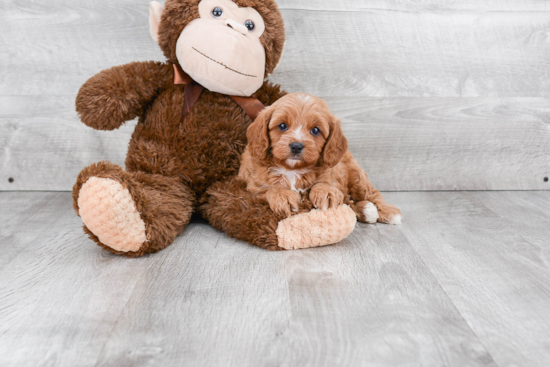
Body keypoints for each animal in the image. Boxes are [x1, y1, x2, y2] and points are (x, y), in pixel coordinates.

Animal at [239, 92, 404, 224]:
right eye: (282, 126)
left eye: (315, 130)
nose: (296, 146)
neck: (292, 169)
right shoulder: (253, 186)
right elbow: (270, 188)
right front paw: (283, 196)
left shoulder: (333, 176)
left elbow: (324, 183)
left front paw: (326, 192)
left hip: (356, 176)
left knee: (371, 193)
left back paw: (388, 212)